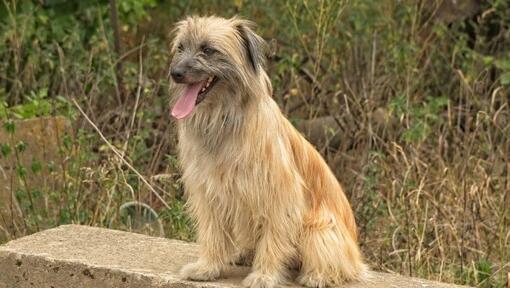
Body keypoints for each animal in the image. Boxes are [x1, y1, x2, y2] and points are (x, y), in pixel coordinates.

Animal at [170, 15, 366, 288]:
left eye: (208, 50)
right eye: (181, 47)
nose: (175, 73)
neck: (223, 118)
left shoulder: (279, 194)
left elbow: (274, 237)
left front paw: (264, 275)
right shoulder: (209, 192)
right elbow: (213, 233)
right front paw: (207, 267)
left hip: (317, 228)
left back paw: (317, 275)